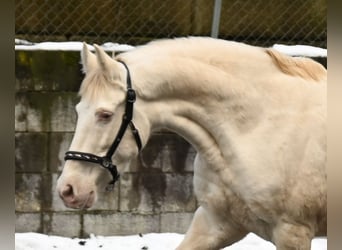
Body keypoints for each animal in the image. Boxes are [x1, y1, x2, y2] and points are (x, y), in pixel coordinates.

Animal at [56, 36, 326, 249]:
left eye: (105, 114)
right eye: (78, 111)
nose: (68, 189)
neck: (256, 125)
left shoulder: (292, 231)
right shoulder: (215, 222)